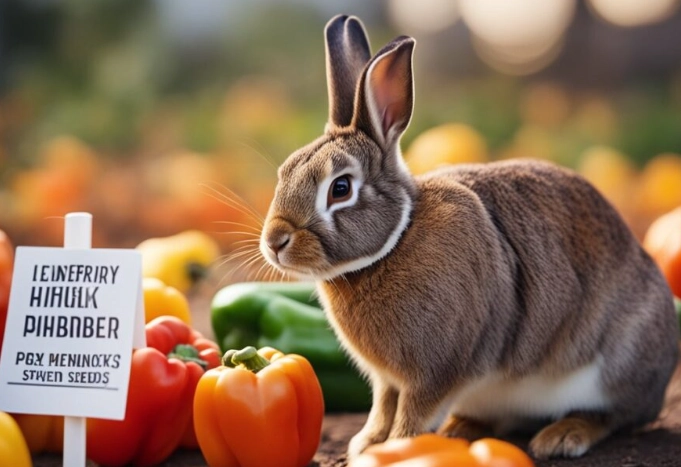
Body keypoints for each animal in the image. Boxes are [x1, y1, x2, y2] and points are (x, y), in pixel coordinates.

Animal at [259, 14, 680, 460]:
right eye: (285, 170)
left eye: (340, 188)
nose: (275, 241)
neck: (395, 240)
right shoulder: (387, 380)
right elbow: (383, 406)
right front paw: (368, 443)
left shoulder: (438, 370)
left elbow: (412, 412)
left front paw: (396, 446)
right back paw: (460, 429)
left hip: (618, 361)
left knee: (614, 414)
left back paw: (562, 437)